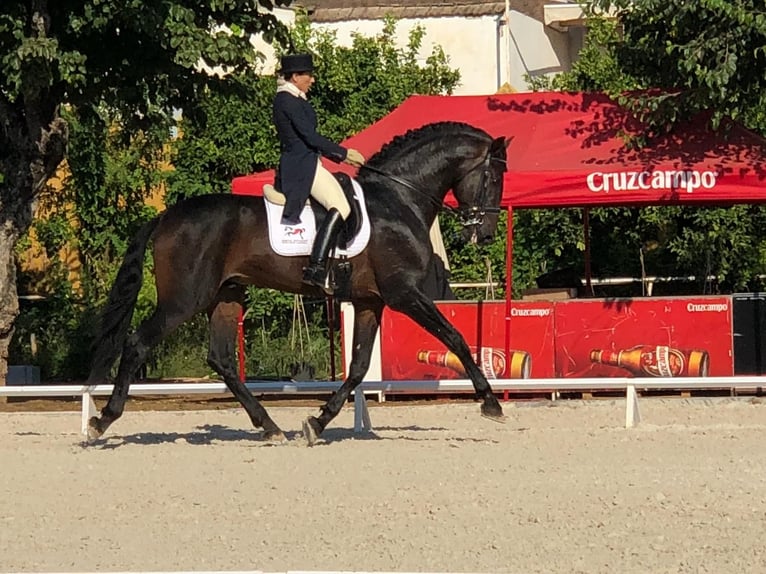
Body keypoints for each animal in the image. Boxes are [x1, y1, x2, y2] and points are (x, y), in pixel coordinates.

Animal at [87, 120, 512, 446]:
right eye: (492, 177)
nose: (486, 232)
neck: (398, 198)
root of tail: (165, 217)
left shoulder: (369, 301)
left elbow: (358, 367)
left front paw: (317, 422)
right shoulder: (404, 293)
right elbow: (456, 337)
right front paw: (491, 404)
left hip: (225, 296)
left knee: (221, 360)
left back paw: (270, 426)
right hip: (184, 299)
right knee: (138, 343)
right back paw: (101, 421)